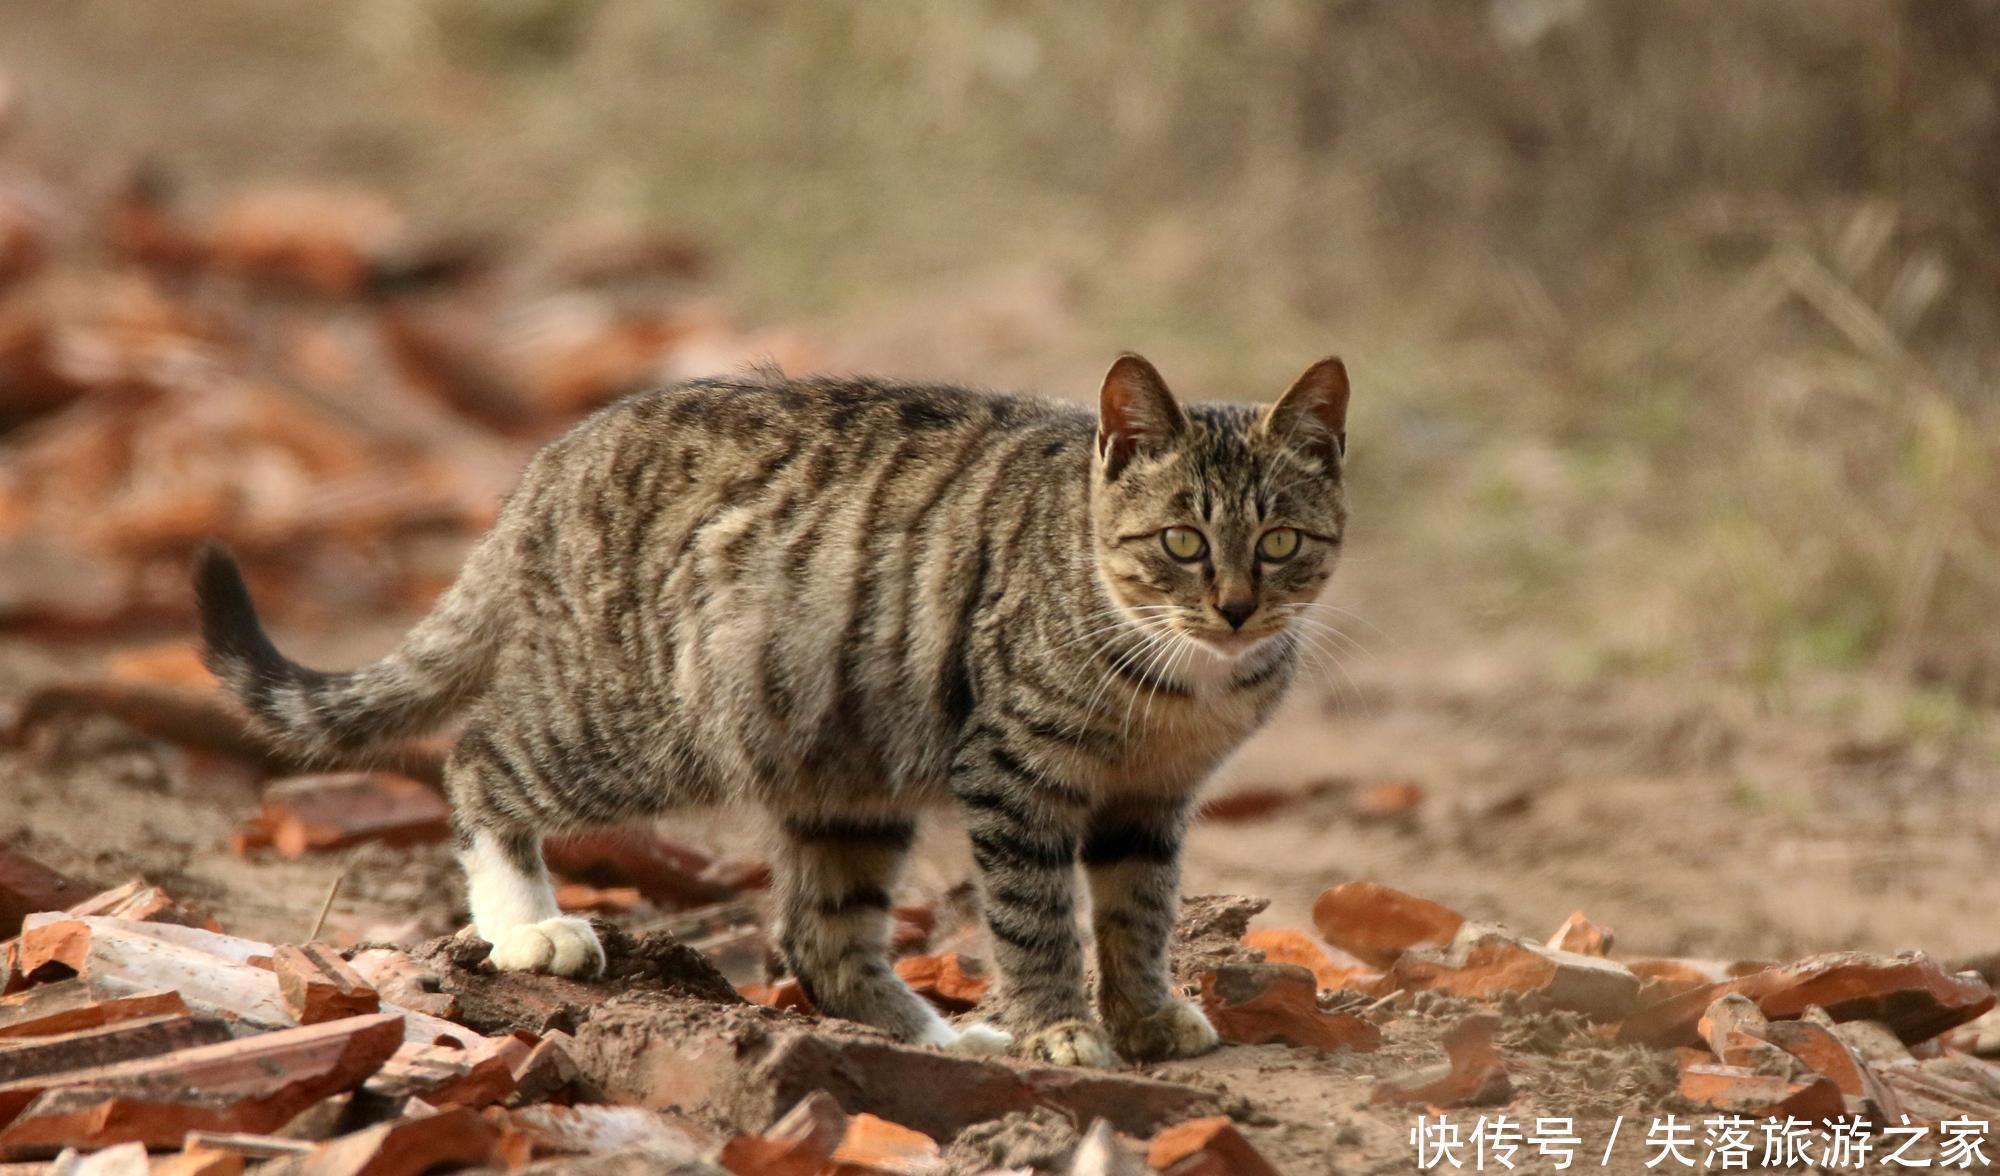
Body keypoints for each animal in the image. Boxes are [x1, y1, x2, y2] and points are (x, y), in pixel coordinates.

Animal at [195, 352, 1352, 1064]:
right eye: (1183, 542)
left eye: (1281, 542)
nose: (1236, 608)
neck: (1178, 672)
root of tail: (554, 464)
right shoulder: (1013, 769)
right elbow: (1037, 920)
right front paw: (1060, 1029)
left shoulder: (1150, 801)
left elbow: (1138, 911)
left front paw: (1145, 1015)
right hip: (640, 725)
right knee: (479, 756)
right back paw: (528, 926)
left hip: (845, 765)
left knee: (819, 936)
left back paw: (933, 1039)